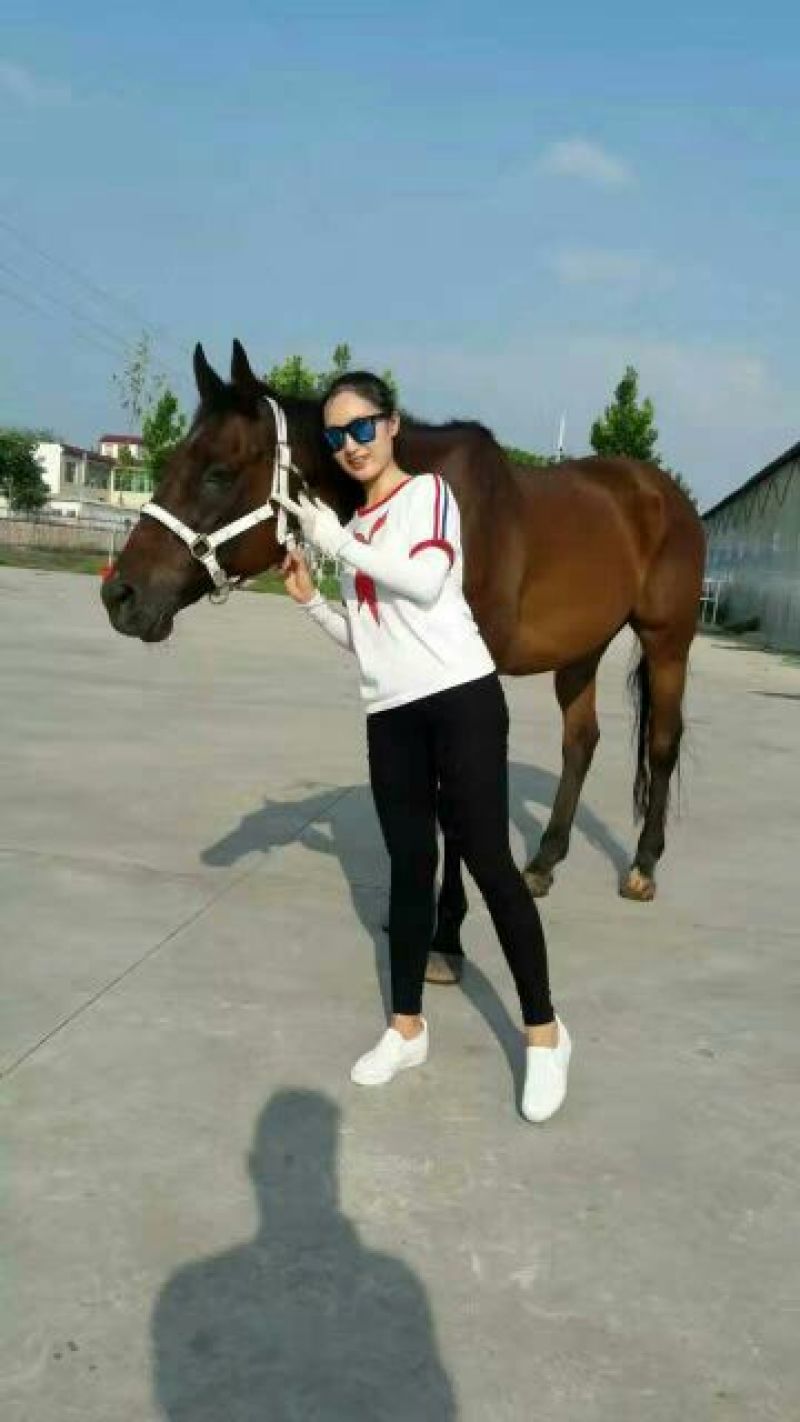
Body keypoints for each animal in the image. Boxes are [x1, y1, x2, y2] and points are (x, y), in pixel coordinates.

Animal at [102, 340, 706, 926]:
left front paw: (446, 930)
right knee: (580, 743)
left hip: (667, 643)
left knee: (662, 744)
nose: (120, 596)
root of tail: (666, 494)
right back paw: (543, 863)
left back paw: (643, 867)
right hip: (582, 650)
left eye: (218, 474)